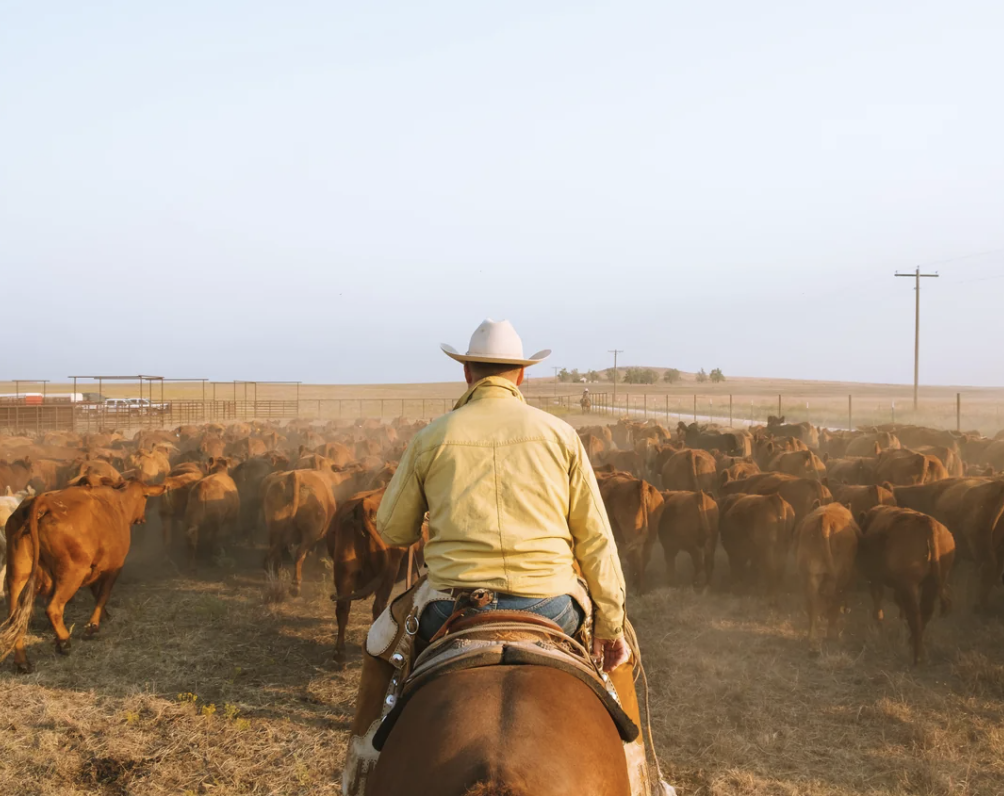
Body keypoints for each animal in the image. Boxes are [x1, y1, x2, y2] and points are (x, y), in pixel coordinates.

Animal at [0, 477, 164, 670]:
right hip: (72, 573)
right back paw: (64, 642)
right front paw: (93, 625)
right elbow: (103, 594)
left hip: (18, 575)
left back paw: (22, 661)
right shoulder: (114, 567)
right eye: (146, 497)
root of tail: (42, 502)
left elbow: (96, 592)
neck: (119, 503)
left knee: (15, 619)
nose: (142, 519)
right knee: (53, 609)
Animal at [795, 503, 859, 650]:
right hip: (840, 577)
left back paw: (812, 639)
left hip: (809, 576)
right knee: (834, 601)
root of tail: (825, 518)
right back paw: (833, 635)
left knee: (813, 605)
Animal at [859, 503, 951, 666]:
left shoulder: (876, 577)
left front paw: (878, 621)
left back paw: (917, 657)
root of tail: (929, 524)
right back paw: (912, 642)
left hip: (910, 586)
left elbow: (878, 596)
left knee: (915, 615)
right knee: (925, 612)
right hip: (931, 586)